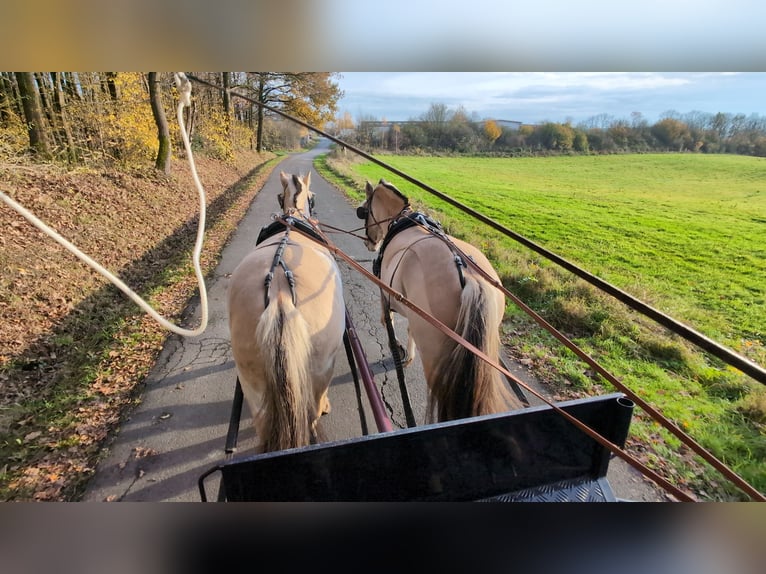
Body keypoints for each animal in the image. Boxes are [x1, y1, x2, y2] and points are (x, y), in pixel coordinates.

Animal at [228, 172, 344, 454]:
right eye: (312, 196)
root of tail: (279, 292)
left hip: (252, 382)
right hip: (319, 371)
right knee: (312, 413)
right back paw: (322, 408)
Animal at [358, 180, 524, 424]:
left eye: (363, 210)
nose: (369, 243)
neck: (400, 220)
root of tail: (471, 277)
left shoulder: (385, 296)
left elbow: (386, 322)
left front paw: (399, 349)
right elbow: (409, 329)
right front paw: (408, 355)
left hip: (433, 352)